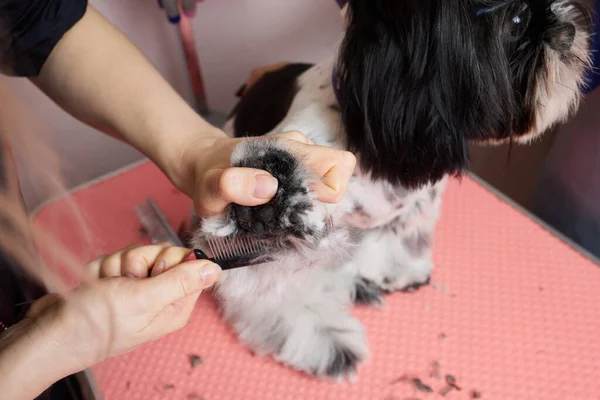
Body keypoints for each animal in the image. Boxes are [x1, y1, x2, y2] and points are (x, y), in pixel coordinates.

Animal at [188, 0, 592, 378]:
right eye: (518, 20)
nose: (569, 26)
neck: (365, 133)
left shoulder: (417, 197)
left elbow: (401, 232)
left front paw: (396, 270)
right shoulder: (270, 236)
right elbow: (276, 286)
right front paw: (321, 335)